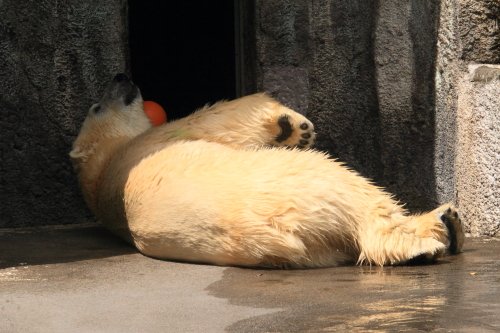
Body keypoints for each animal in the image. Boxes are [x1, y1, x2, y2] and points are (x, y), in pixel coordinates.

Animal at [70, 73, 464, 268]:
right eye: (96, 107)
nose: (121, 76)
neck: (104, 169)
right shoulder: (152, 141)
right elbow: (217, 120)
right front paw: (292, 124)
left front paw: (292, 128)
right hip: (302, 184)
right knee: (356, 193)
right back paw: (438, 228)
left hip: (313, 250)